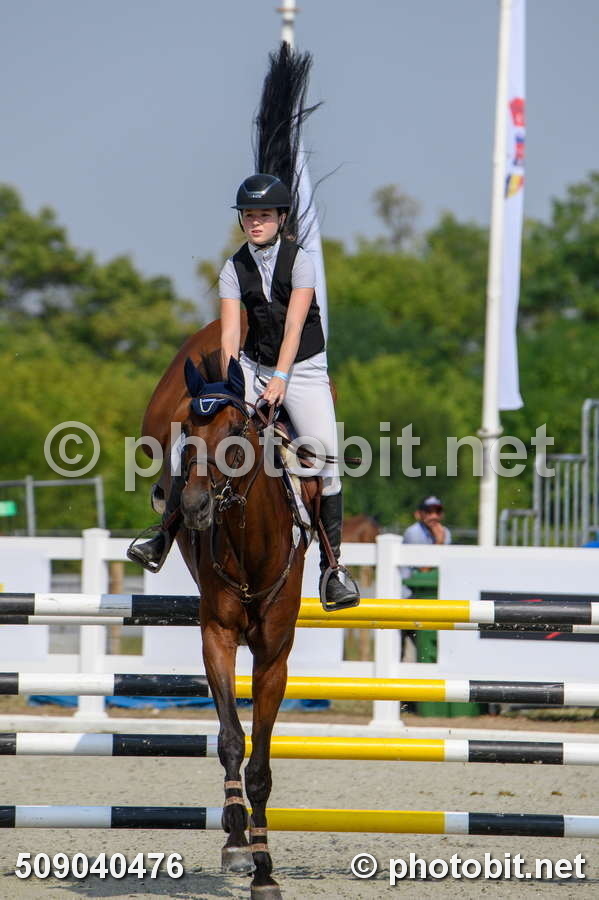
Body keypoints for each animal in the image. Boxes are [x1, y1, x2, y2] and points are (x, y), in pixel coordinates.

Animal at [141, 319, 316, 900]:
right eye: (188, 433)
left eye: (239, 426)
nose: (195, 506)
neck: (249, 539)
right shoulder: (216, 637)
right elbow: (231, 741)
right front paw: (238, 844)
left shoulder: (273, 655)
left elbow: (260, 761)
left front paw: (264, 869)